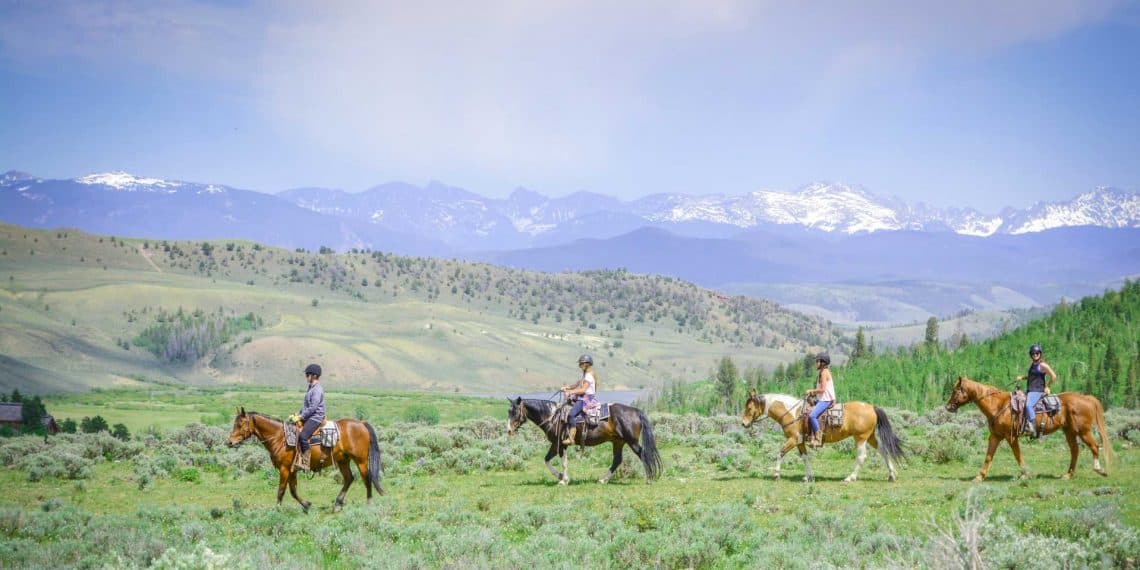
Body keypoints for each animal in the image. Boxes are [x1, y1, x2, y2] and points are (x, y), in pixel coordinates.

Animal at [224, 408, 385, 515]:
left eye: (240, 424)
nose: (229, 442)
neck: (279, 437)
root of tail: (361, 423)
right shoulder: (292, 469)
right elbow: (293, 490)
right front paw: (307, 505)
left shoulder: (284, 468)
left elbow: (281, 490)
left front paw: (277, 510)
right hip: (343, 460)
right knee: (349, 478)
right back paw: (337, 505)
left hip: (360, 460)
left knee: (366, 478)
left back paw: (369, 503)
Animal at [506, 396, 665, 485]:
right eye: (508, 411)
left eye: (515, 411)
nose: (508, 430)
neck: (552, 416)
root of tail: (636, 411)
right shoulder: (556, 444)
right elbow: (547, 460)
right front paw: (561, 477)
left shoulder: (560, 444)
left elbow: (561, 462)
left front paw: (563, 479)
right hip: (618, 442)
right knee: (617, 460)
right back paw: (603, 480)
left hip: (631, 441)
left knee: (643, 454)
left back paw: (649, 478)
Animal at [738, 392, 907, 481]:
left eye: (749, 408)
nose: (744, 423)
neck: (793, 414)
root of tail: (872, 407)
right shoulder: (800, 441)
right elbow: (805, 457)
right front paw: (808, 476)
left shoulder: (793, 439)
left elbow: (780, 453)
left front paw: (776, 473)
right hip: (870, 437)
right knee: (884, 451)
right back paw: (892, 475)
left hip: (860, 437)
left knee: (861, 457)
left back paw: (850, 477)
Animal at [943, 378, 1112, 481]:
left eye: (955, 390)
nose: (948, 407)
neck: (998, 405)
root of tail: (1086, 398)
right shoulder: (995, 436)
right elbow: (988, 457)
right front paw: (979, 477)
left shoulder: (1011, 437)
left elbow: (1018, 455)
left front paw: (1025, 474)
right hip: (1069, 431)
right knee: (1075, 451)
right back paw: (1067, 475)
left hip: (1083, 431)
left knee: (1094, 446)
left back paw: (1100, 470)